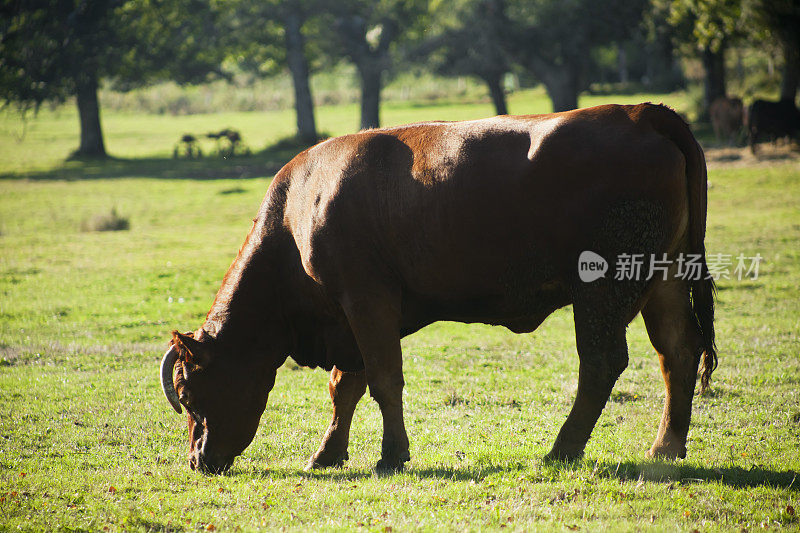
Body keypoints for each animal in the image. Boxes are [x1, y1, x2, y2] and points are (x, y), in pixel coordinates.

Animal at [159, 103, 716, 474]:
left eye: (188, 392)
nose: (198, 460)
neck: (299, 213)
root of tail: (640, 113)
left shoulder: (367, 300)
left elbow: (384, 380)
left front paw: (391, 456)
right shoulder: (350, 320)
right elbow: (346, 387)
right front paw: (328, 453)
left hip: (602, 288)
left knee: (602, 362)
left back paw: (562, 449)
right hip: (664, 276)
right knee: (677, 351)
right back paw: (666, 448)